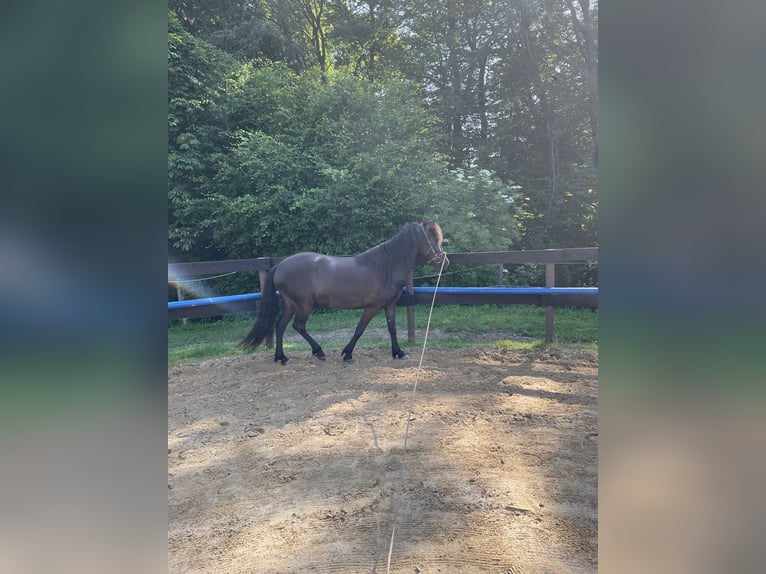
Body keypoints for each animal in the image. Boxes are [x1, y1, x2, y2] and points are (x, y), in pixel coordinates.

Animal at [240, 220, 450, 364]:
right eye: (432, 239)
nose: (444, 261)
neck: (386, 266)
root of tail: (280, 265)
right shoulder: (372, 307)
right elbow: (359, 330)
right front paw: (347, 354)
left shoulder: (389, 305)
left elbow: (392, 329)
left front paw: (399, 352)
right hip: (304, 305)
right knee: (298, 326)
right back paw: (317, 352)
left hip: (290, 304)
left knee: (280, 326)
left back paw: (282, 358)